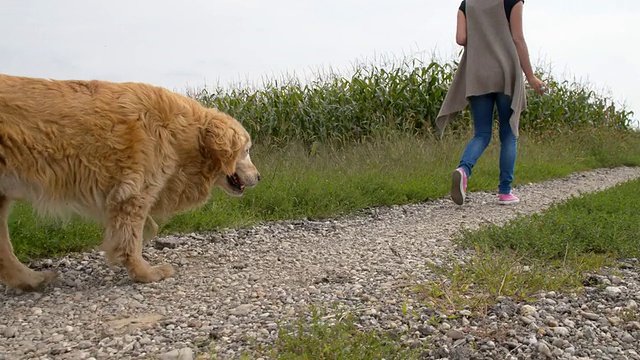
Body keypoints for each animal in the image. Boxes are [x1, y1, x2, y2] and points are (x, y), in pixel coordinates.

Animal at [0, 74, 260, 292]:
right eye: (246, 150)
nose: (259, 177)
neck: (184, 134)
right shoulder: (134, 192)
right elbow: (131, 238)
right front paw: (144, 273)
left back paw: (31, 279)